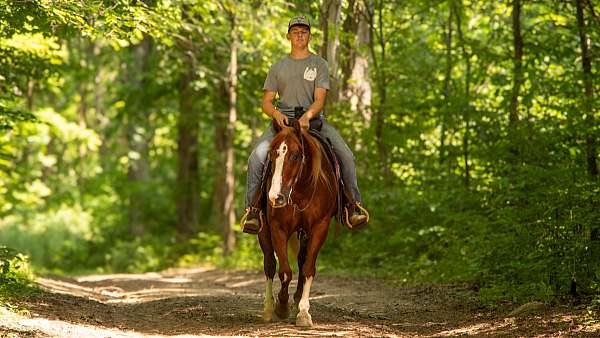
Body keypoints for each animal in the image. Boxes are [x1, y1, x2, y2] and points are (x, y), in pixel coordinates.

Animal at [258, 120, 338, 326]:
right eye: (272, 154)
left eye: (295, 155)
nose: (275, 197)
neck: (301, 192)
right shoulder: (278, 228)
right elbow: (285, 271)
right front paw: (281, 306)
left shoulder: (319, 227)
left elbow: (308, 268)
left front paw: (302, 312)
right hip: (263, 230)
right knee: (269, 264)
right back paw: (268, 308)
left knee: (302, 262)